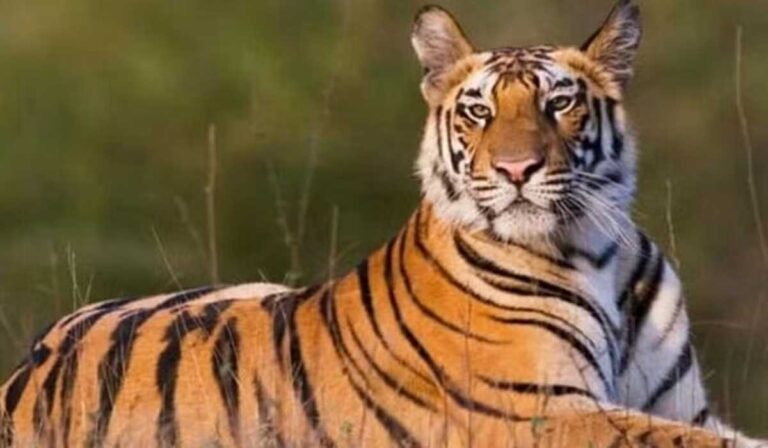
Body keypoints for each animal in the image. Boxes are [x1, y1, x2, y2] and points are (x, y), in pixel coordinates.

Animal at [1, 1, 765, 447]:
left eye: (559, 104)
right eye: (479, 111)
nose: (517, 169)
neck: (595, 248)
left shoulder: (681, 404)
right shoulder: (538, 411)